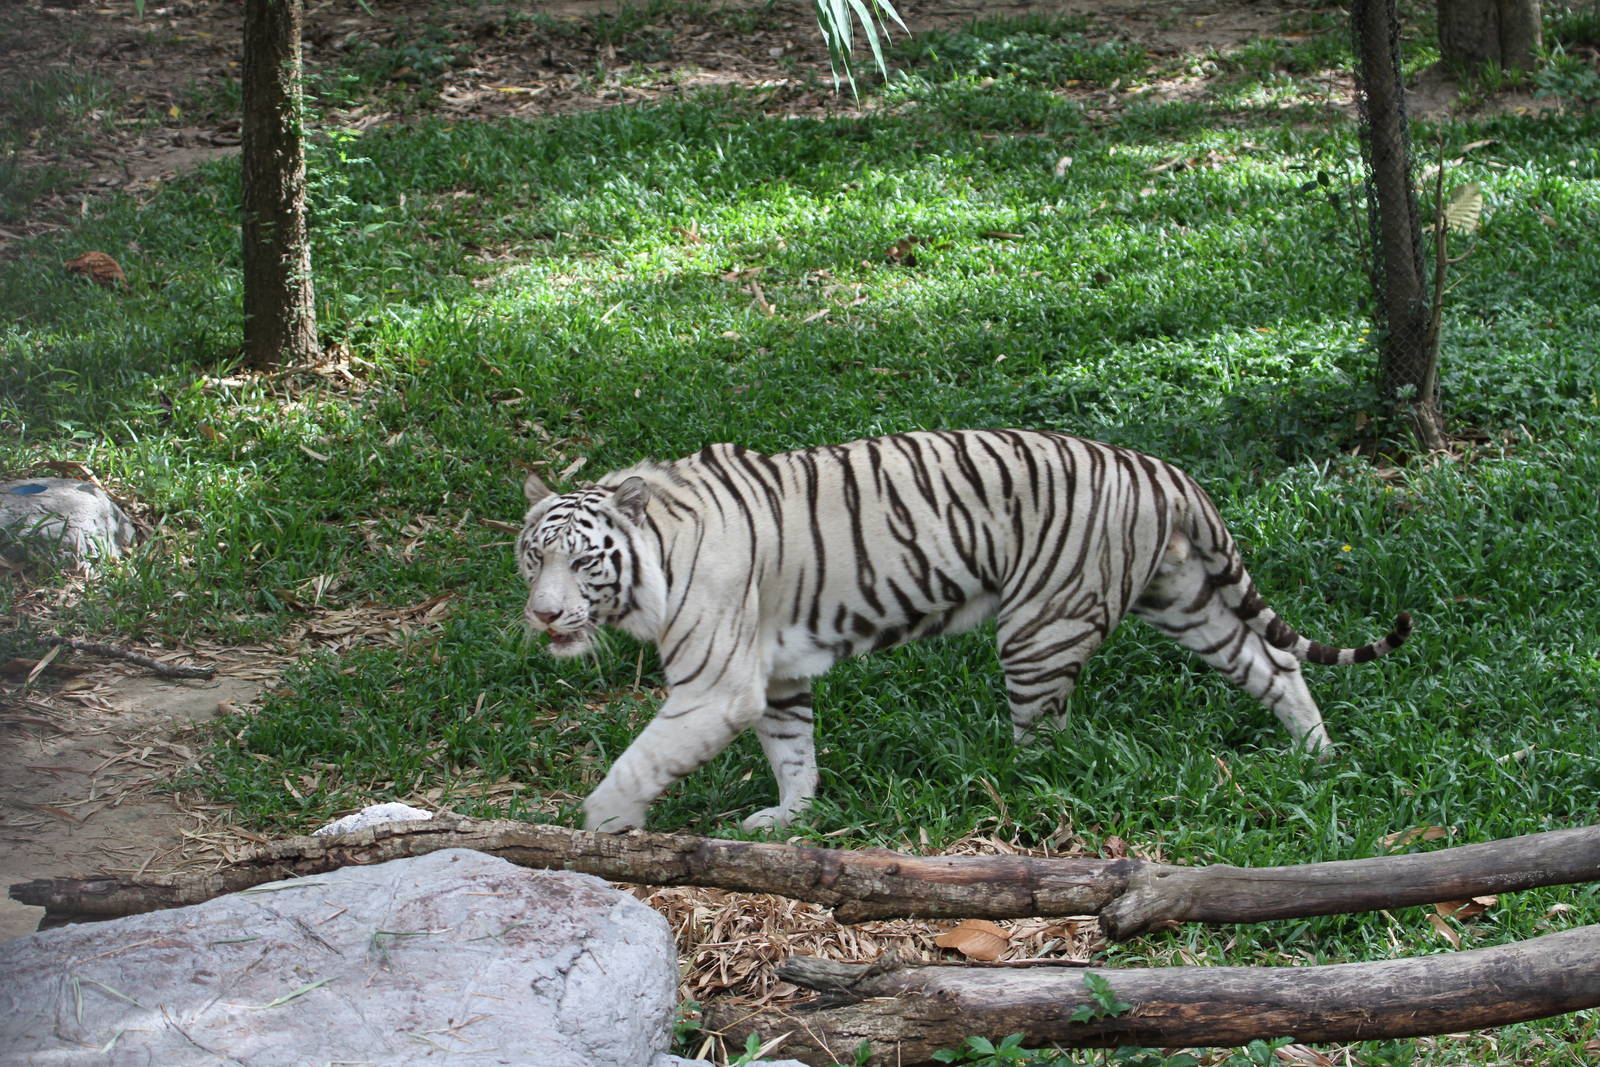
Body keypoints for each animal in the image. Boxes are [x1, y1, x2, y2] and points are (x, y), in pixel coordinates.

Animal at [516, 429, 1411, 833]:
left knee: (1046, 741)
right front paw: (791, 816)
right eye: (532, 557)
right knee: (1275, 666)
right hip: (1185, 597)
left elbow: (642, 758)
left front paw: (599, 826)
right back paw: (1316, 755)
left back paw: (1002, 786)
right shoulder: (778, 674)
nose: (544, 614)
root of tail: (1162, 467)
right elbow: (793, 749)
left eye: (583, 562)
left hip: (1040, 626)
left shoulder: (717, 686)